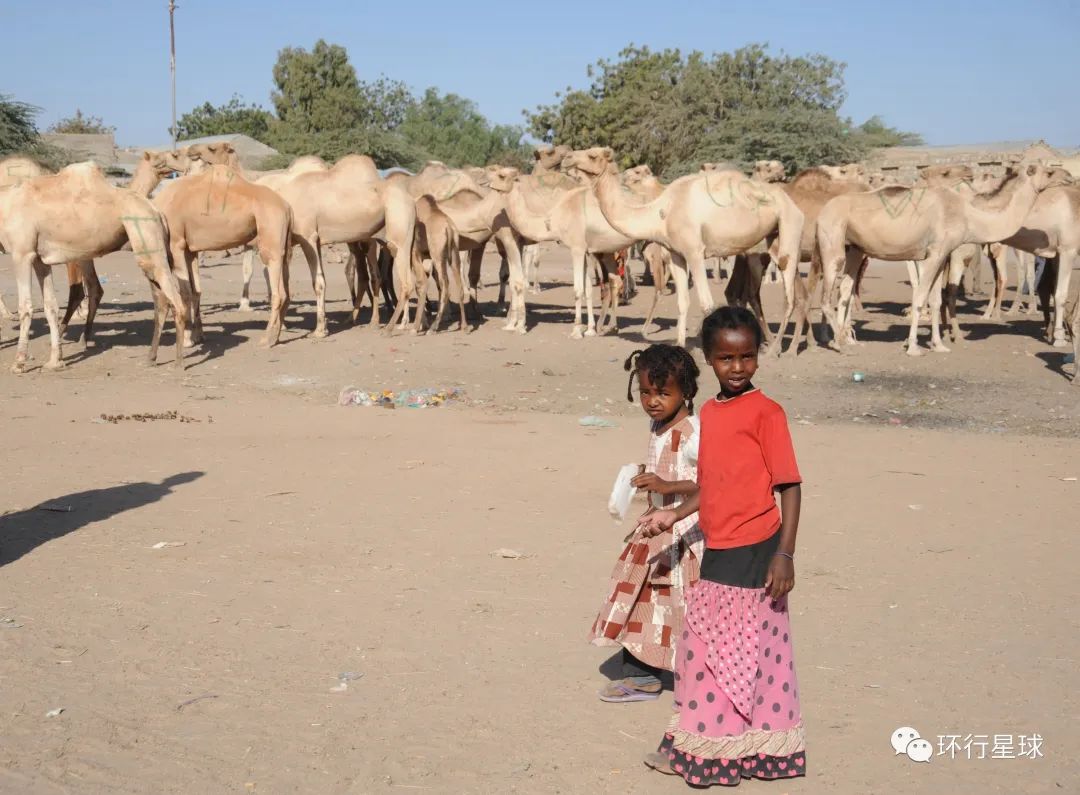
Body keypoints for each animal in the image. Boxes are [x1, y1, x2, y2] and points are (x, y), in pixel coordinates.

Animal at [0, 164, 185, 371]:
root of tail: (158, 212)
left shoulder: (22, 253)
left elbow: (25, 307)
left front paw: (18, 363)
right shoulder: (40, 260)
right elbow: (50, 306)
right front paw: (55, 361)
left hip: (147, 241)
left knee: (176, 301)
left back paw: (179, 362)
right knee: (162, 301)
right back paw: (151, 357)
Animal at [570, 146, 807, 349]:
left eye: (592, 155)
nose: (568, 158)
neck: (661, 213)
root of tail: (790, 201)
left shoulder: (694, 252)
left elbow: (706, 304)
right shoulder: (676, 254)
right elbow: (682, 302)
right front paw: (680, 344)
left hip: (790, 225)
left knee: (789, 295)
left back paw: (776, 348)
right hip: (773, 239)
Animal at [816, 164, 1062, 354]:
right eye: (1049, 172)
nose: (1067, 176)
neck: (969, 216)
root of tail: (823, 212)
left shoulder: (942, 255)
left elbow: (935, 300)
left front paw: (938, 345)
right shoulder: (933, 253)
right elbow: (920, 296)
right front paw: (913, 347)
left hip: (855, 249)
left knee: (844, 290)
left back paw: (846, 340)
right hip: (832, 241)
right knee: (826, 297)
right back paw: (839, 343)